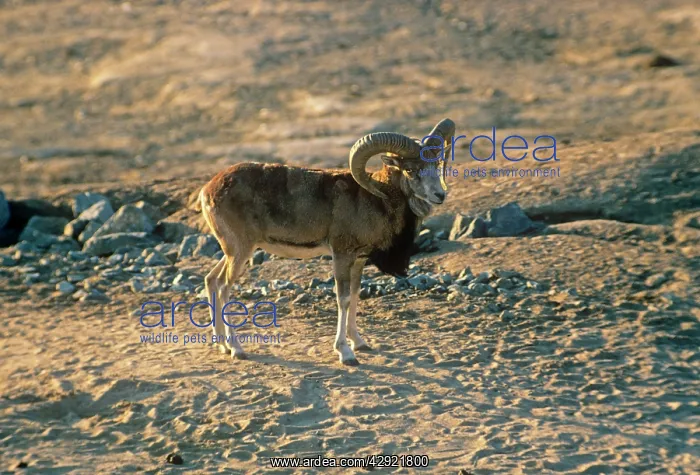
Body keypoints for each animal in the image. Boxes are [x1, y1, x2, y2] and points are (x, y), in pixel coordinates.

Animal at [199, 118, 455, 365]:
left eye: (435, 164)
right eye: (410, 169)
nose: (440, 195)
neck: (376, 198)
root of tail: (207, 191)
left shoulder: (358, 260)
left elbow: (354, 295)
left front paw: (359, 343)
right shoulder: (341, 255)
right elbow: (343, 299)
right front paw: (346, 354)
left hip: (235, 252)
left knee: (211, 280)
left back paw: (222, 346)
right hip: (240, 252)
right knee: (223, 287)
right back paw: (237, 350)